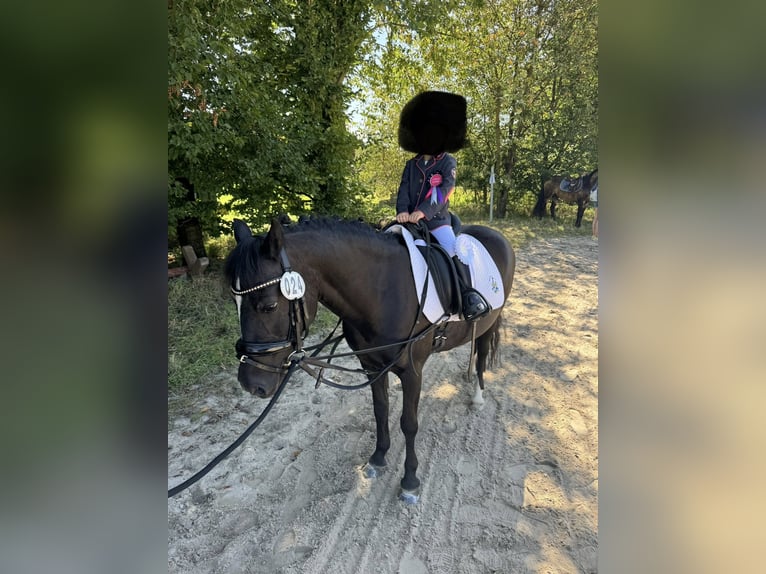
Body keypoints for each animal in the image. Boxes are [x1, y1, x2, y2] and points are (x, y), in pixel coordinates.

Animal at [224, 216, 515, 503]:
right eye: (235, 303)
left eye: (269, 306)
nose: (250, 382)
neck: (383, 291)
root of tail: (496, 235)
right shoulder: (372, 367)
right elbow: (380, 410)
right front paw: (377, 458)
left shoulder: (412, 372)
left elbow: (409, 424)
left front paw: (410, 481)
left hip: (490, 321)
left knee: (482, 353)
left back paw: (477, 396)